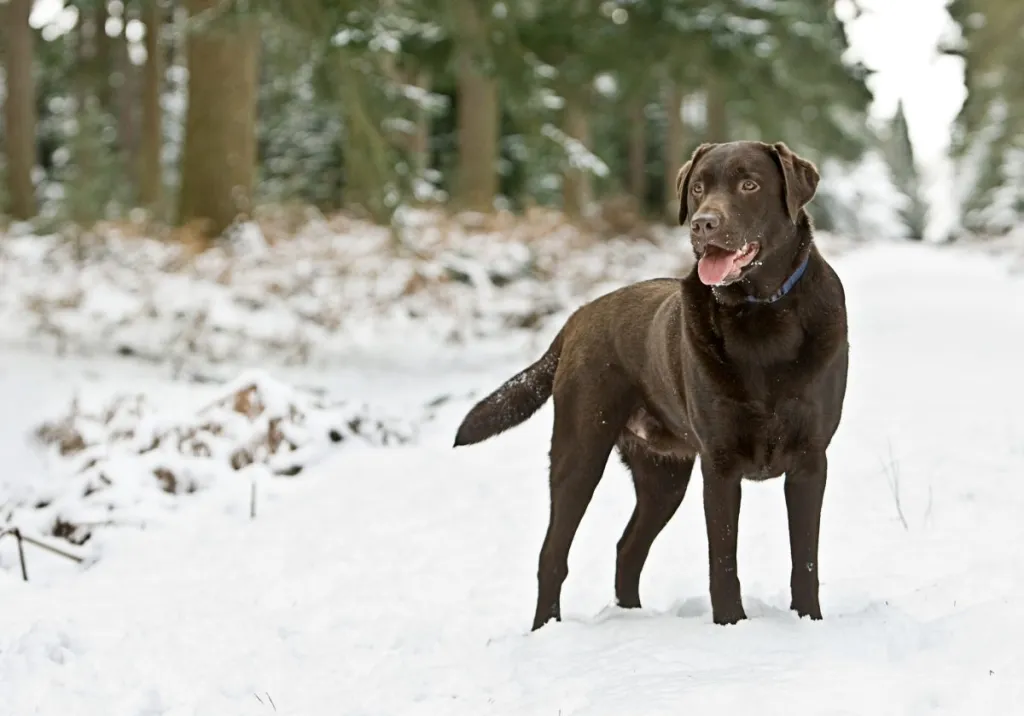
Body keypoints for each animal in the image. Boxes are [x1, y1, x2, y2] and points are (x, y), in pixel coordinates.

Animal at [454, 138, 847, 626]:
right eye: (698, 188)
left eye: (749, 184)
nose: (703, 223)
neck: (761, 315)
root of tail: (577, 316)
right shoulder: (719, 464)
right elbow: (723, 560)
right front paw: (731, 625)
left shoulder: (811, 459)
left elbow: (805, 559)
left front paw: (809, 621)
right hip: (580, 451)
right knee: (553, 554)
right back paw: (547, 629)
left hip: (664, 477)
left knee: (628, 548)